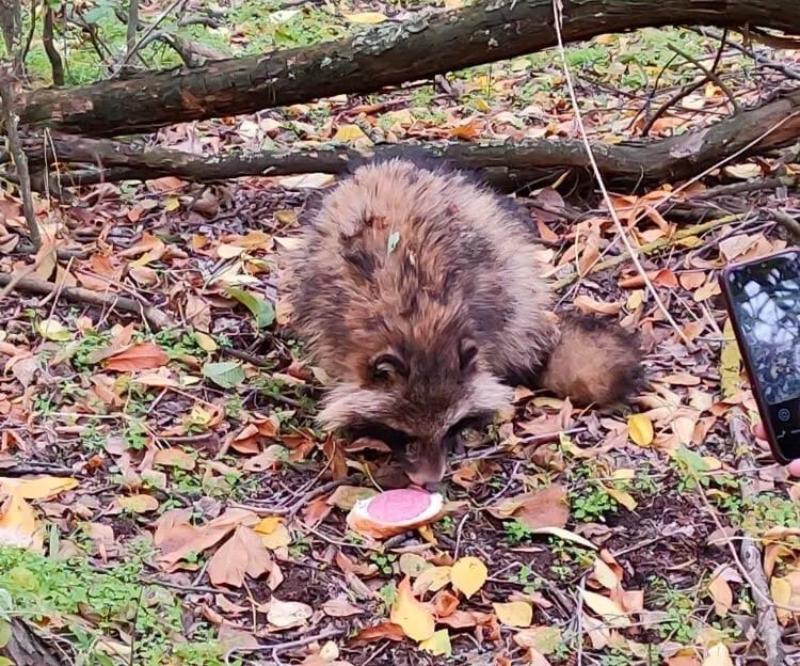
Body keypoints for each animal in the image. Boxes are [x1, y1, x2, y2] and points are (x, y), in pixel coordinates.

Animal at [282, 158, 644, 486]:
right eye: (404, 434)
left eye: (448, 428)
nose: (430, 483)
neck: (417, 322)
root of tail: (392, 163)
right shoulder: (328, 317)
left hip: (511, 270)